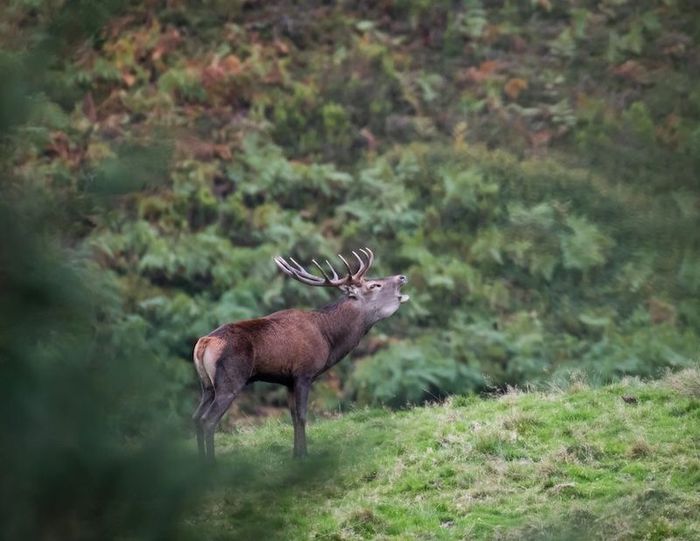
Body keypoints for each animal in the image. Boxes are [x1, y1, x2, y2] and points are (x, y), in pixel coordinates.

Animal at [192, 248, 409, 461]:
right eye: (374, 285)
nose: (402, 277)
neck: (328, 339)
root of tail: (204, 343)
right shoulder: (304, 373)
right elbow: (303, 415)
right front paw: (305, 456)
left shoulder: (288, 380)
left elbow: (294, 417)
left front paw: (296, 455)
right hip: (230, 380)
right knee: (208, 420)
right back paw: (211, 462)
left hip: (207, 385)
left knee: (196, 417)